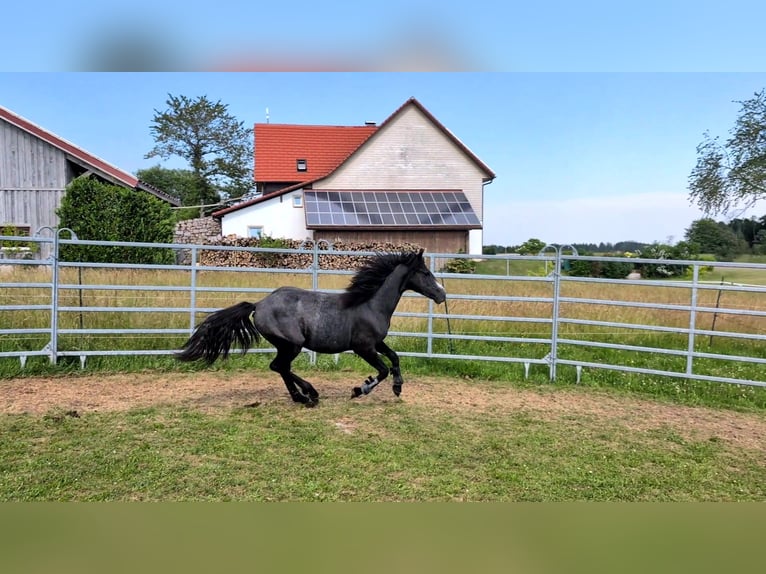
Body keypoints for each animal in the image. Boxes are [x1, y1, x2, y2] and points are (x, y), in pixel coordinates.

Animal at [176, 249, 446, 407]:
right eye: (424, 272)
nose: (442, 294)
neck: (370, 304)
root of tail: (259, 304)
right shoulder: (364, 347)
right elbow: (382, 370)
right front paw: (360, 389)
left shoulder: (376, 342)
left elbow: (395, 358)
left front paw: (398, 388)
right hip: (292, 344)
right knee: (279, 366)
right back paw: (308, 396)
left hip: (286, 346)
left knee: (280, 367)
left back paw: (305, 396)